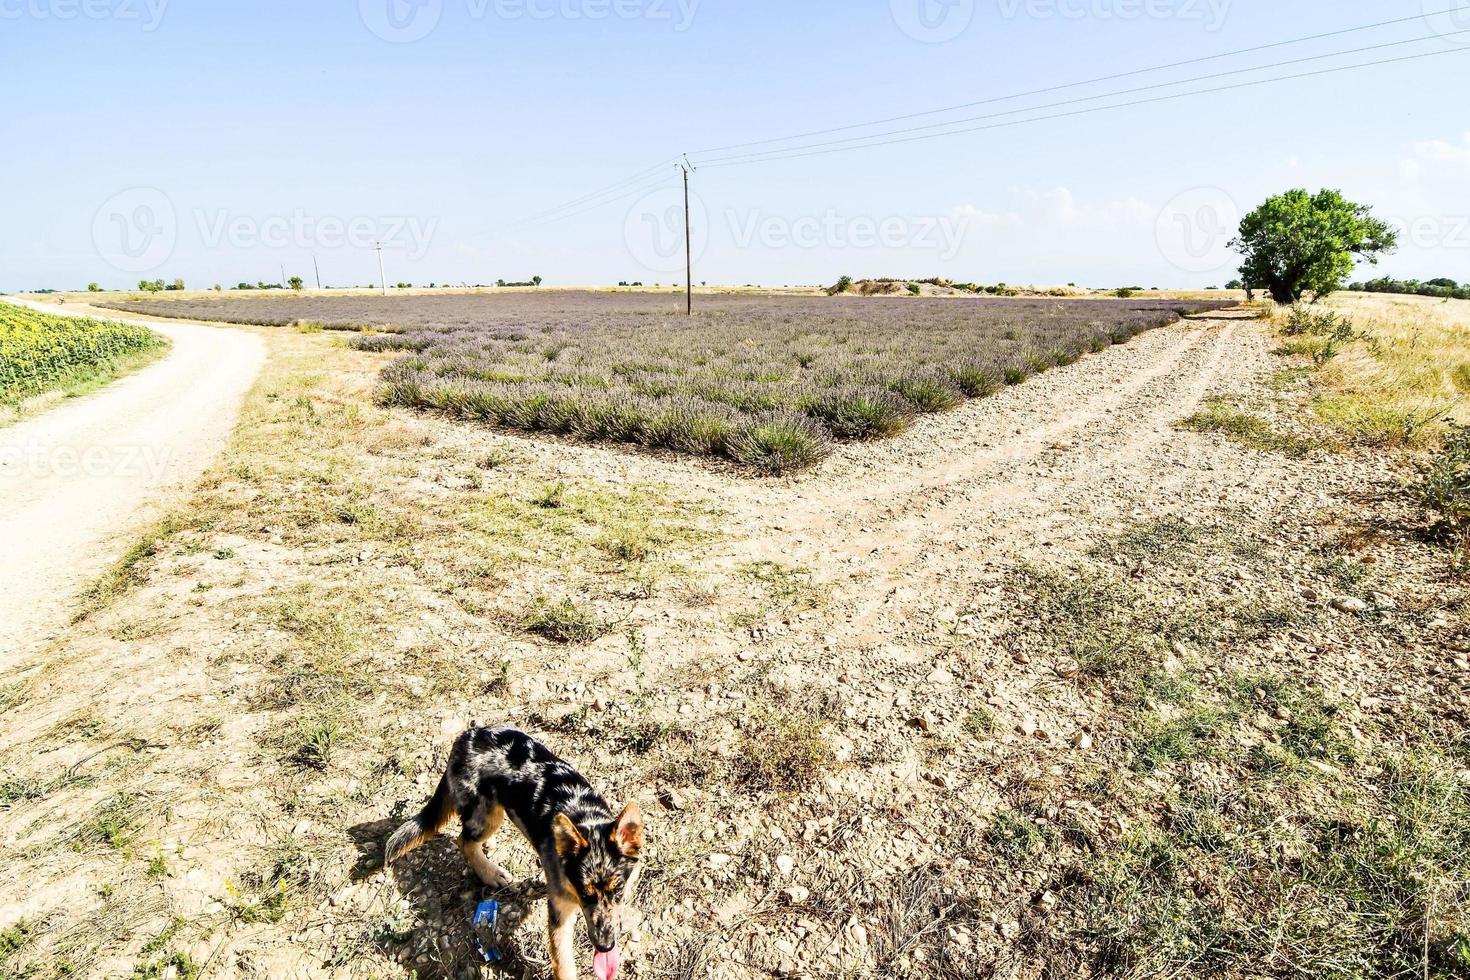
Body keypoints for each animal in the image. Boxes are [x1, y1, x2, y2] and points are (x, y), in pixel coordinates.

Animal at [388, 725, 646, 980]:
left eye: (618, 890)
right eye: (584, 893)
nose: (605, 946)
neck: (585, 818)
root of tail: (464, 737)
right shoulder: (559, 913)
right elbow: (564, 964)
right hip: (487, 817)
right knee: (464, 841)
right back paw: (490, 873)